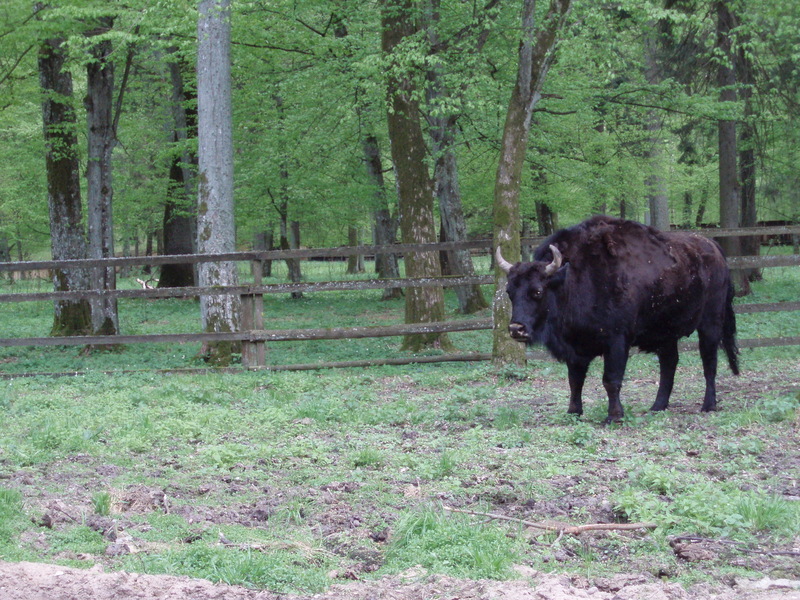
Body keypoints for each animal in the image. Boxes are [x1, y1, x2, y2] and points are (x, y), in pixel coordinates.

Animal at [496, 216, 740, 422]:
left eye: (537, 291)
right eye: (509, 291)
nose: (516, 329)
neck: (569, 278)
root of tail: (714, 249)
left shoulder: (616, 341)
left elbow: (611, 380)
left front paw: (614, 416)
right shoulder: (576, 347)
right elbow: (575, 380)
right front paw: (573, 412)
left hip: (710, 323)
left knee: (709, 361)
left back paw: (708, 405)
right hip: (666, 333)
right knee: (669, 363)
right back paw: (657, 407)